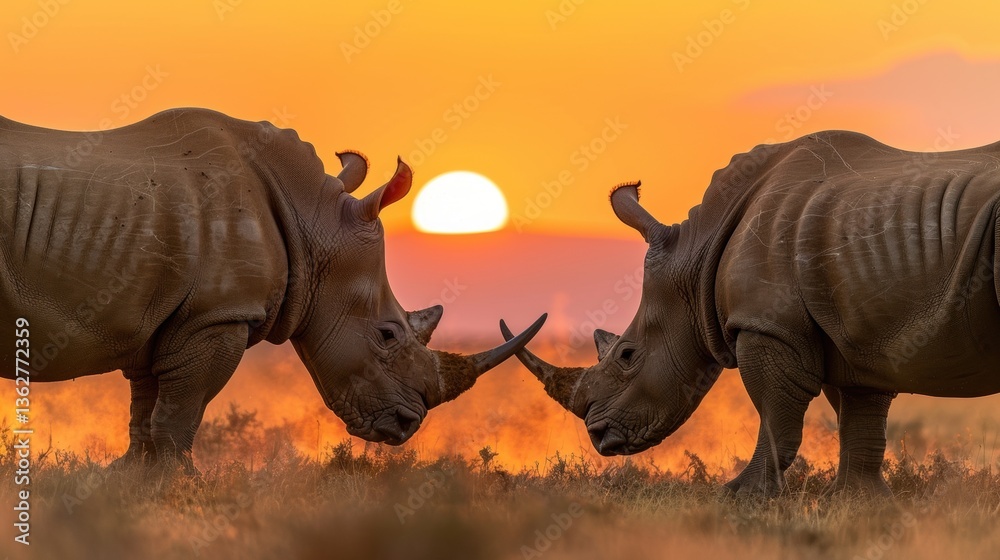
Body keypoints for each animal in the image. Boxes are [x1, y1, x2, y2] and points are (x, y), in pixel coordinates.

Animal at [0, 108, 544, 471]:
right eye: (387, 335)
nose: (407, 426)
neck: (312, 223)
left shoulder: (157, 315)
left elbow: (147, 406)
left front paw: (132, 479)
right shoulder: (218, 313)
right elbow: (181, 409)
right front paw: (182, 484)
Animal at [503, 130, 1000, 497]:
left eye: (627, 355)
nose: (599, 436)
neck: (695, 257)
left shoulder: (769, 325)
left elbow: (776, 412)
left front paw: (741, 496)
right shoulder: (858, 332)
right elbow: (860, 414)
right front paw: (860, 502)